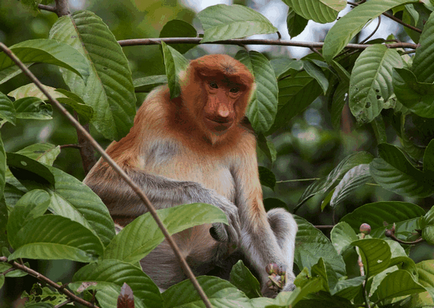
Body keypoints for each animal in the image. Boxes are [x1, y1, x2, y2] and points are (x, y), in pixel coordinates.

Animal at [83, 53, 296, 296]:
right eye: (213, 85)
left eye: (233, 90)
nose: (223, 112)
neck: (199, 131)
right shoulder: (153, 108)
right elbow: (99, 182)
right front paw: (211, 201)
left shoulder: (245, 138)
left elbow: (251, 218)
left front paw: (280, 281)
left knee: (280, 218)